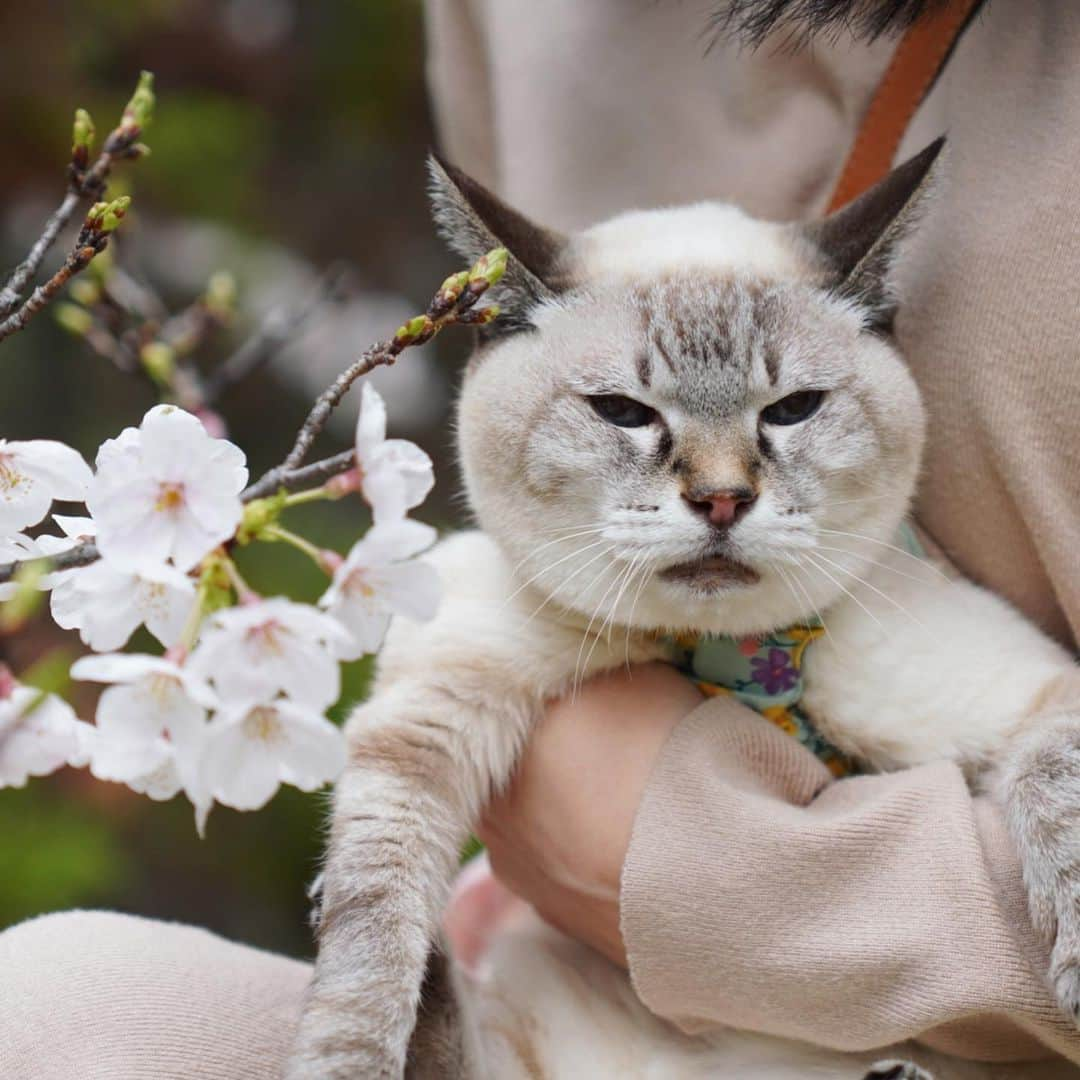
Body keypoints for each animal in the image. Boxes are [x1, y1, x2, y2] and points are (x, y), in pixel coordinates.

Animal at [285, 139, 1080, 1075]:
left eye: (793, 409)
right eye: (623, 413)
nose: (723, 500)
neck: (722, 659)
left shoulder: (1036, 696)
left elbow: (1055, 784)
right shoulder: (429, 713)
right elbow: (366, 949)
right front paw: (347, 1053)